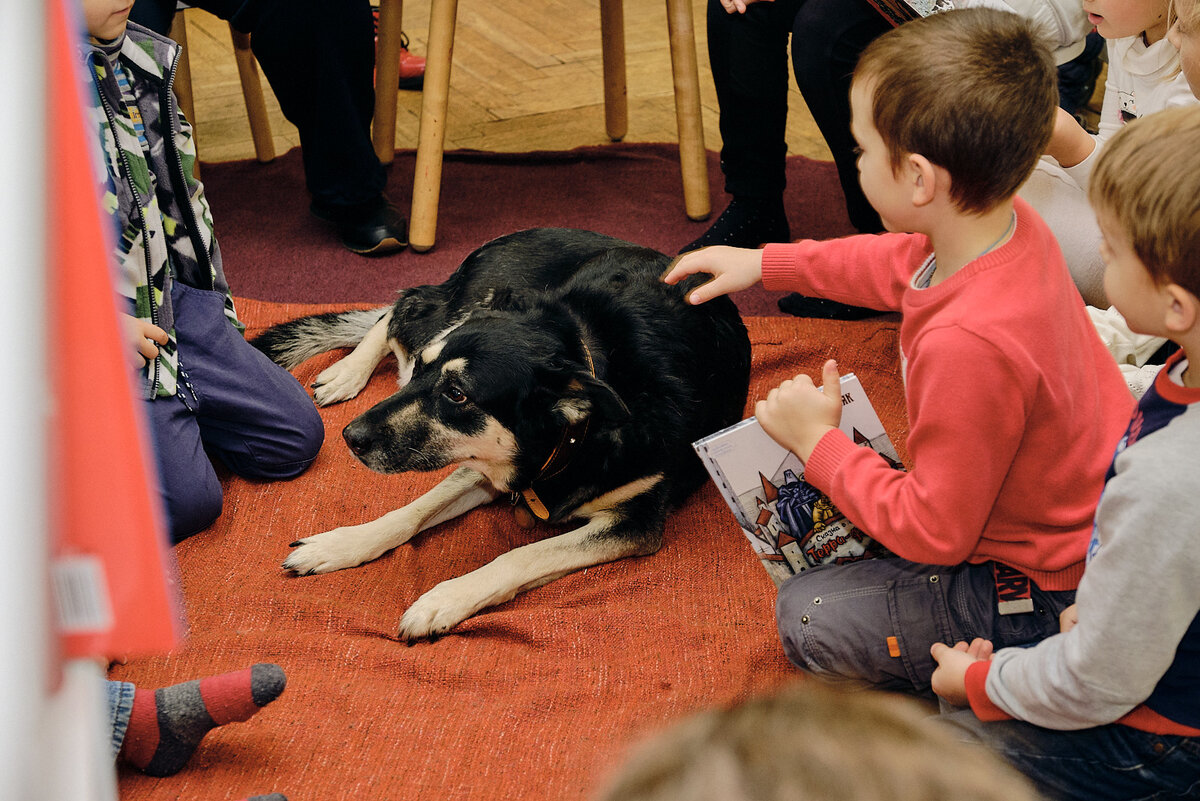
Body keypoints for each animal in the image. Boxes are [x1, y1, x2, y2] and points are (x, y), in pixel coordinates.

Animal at [255, 227, 748, 642]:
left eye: (456, 393)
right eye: (425, 370)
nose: (349, 437)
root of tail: (499, 240)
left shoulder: (634, 521)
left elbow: (521, 555)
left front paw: (444, 598)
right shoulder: (483, 465)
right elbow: (411, 512)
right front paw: (342, 544)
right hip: (463, 306)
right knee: (401, 310)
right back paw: (348, 371)